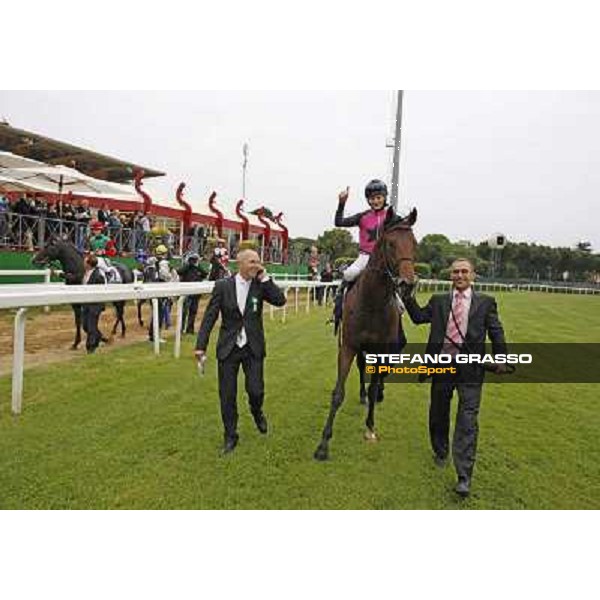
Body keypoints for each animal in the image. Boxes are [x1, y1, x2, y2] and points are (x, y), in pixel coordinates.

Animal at [314, 209, 418, 462]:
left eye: (414, 243)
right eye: (390, 243)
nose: (407, 284)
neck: (371, 302)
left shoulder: (381, 349)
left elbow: (374, 385)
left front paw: (370, 427)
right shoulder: (349, 346)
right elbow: (338, 393)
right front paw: (323, 444)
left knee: (378, 377)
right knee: (362, 368)